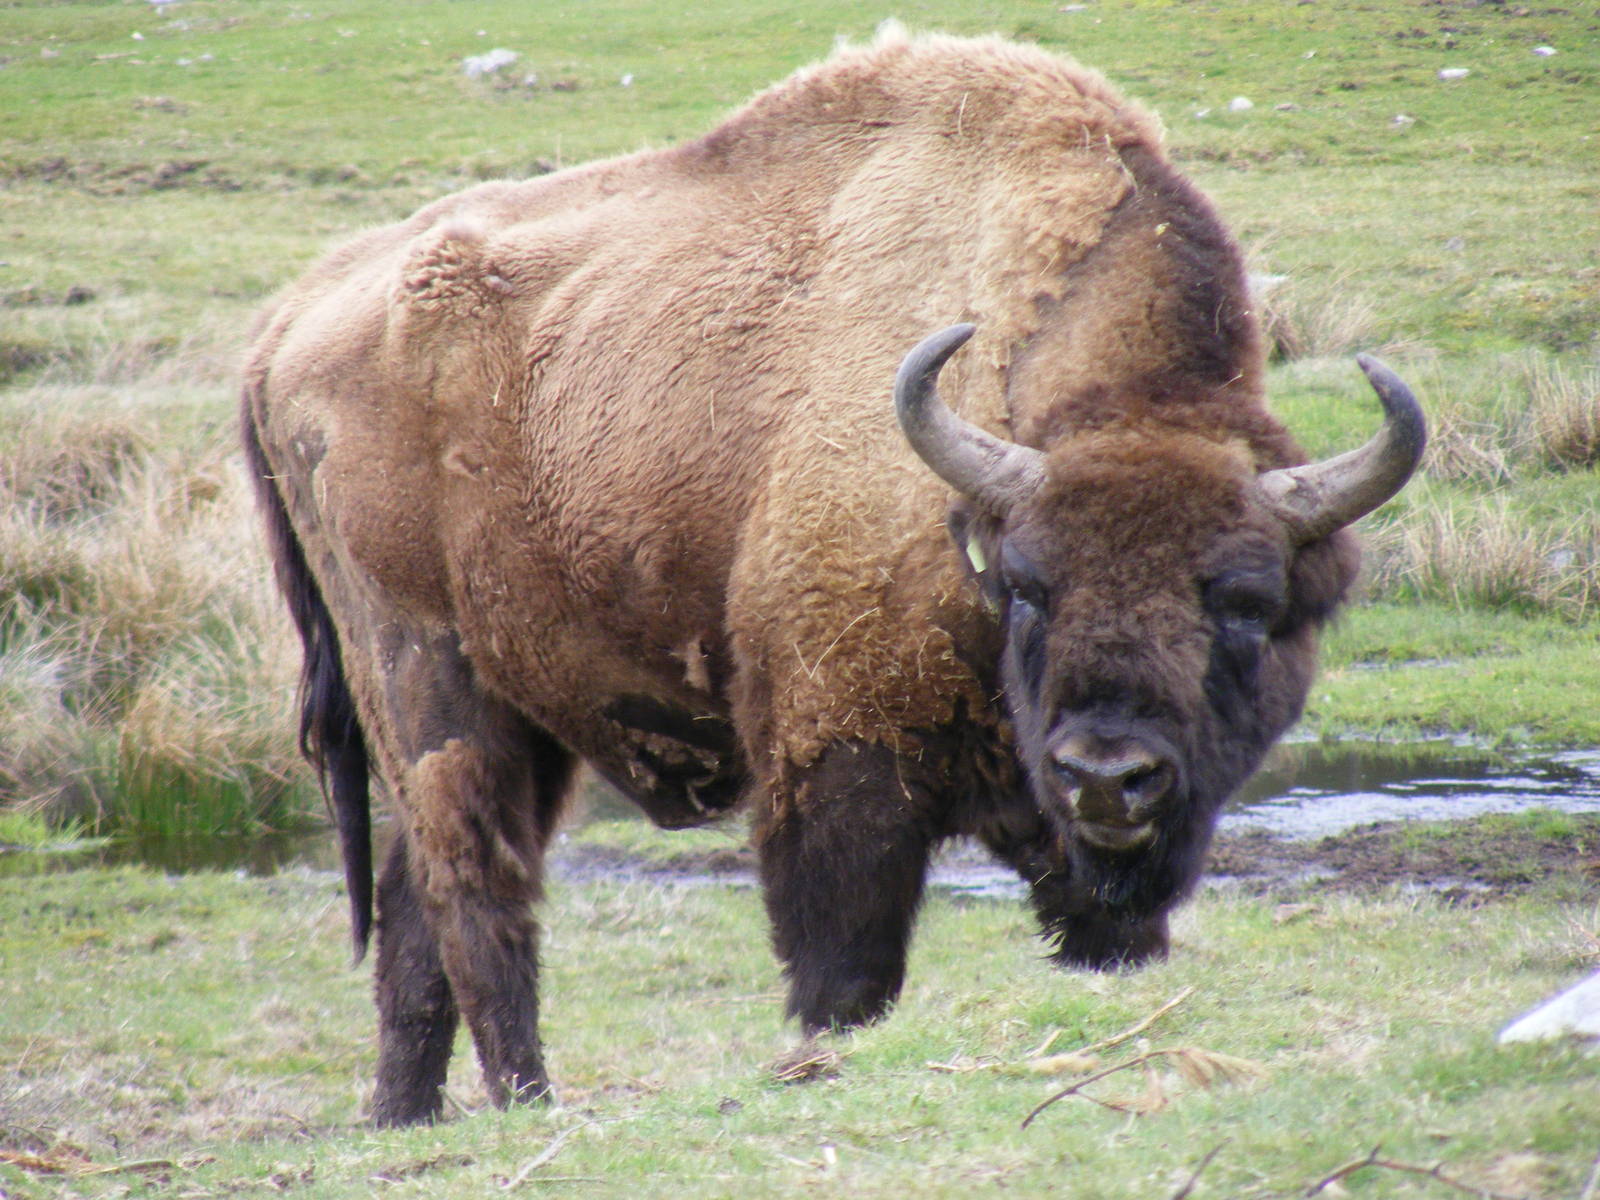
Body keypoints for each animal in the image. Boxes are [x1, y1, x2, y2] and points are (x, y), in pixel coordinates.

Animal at [241, 29, 1423, 1125]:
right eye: (1028, 586)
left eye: (1248, 604)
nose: (1106, 774)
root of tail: (286, 324)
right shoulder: (838, 768)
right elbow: (843, 975)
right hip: (422, 670)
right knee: (474, 890)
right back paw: (530, 1099)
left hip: (506, 707)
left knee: (416, 913)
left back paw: (403, 1114)